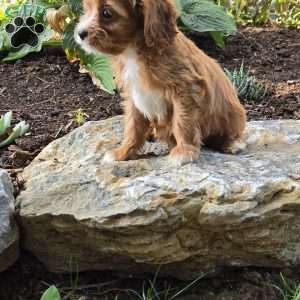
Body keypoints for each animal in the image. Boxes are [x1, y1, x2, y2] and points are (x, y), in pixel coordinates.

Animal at [75, 0, 246, 166]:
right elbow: (132, 126)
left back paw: (232, 144)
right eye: (86, 9)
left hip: (232, 115)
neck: (134, 50)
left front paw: (184, 152)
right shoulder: (133, 94)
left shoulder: (186, 89)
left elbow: (183, 122)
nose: (80, 33)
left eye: (107, 13)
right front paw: (122, 152)